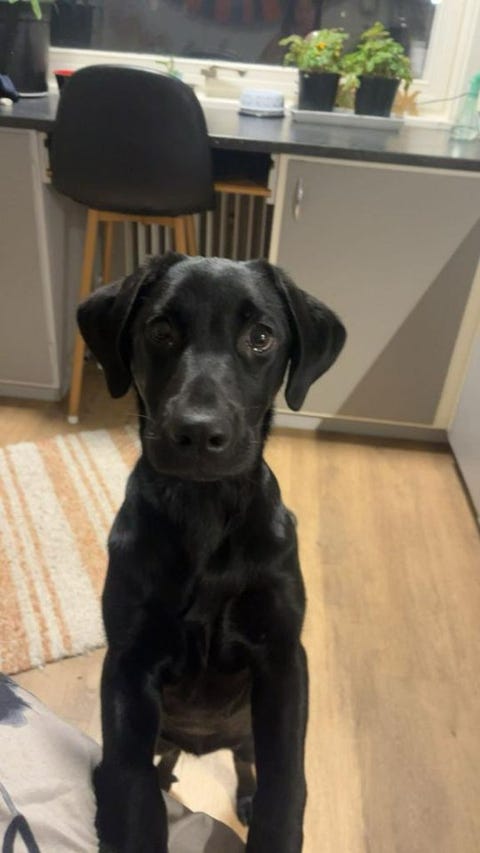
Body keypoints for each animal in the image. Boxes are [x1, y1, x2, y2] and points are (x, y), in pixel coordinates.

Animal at [77, 253, 346, 853]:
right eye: (160, 330)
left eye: (261, 337)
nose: (198, 434)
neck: (204, 512)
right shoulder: (128, 665)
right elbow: (131, 781)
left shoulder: (282, 658)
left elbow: (285, 780)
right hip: (164, 728)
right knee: (163, 757)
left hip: (247, 730)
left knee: (247, 764)